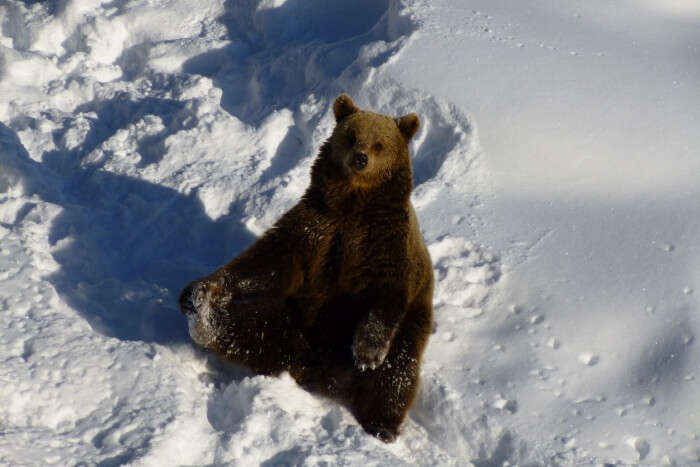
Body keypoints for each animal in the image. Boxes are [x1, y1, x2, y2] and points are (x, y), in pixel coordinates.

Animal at [178, 94, 434, 442]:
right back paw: (203, 314)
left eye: (380, 143)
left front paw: (367, 353)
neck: (355, 205)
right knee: (248, 325)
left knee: (398, 371)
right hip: (293, 320)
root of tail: (316, 369)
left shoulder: (386, 245)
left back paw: (381, 425)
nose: (360, 159)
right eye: (351, 136)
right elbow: (268, 261)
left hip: (409, 326)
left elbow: (386, 295)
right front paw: (201, 288)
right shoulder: (316, 229)